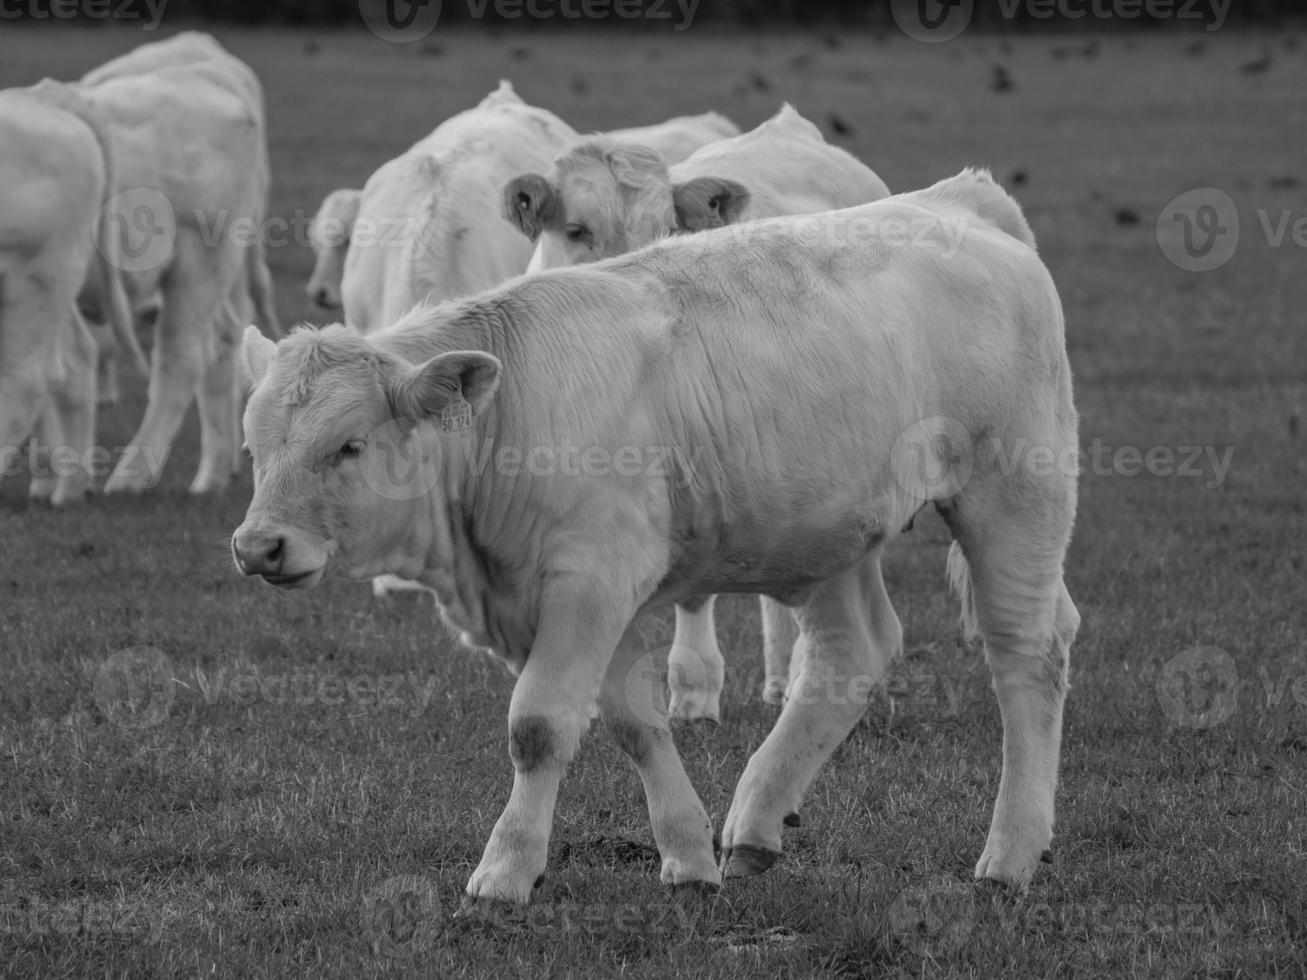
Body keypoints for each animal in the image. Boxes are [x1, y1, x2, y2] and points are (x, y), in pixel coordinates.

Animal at [232, 172, 1082, 909]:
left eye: (348, 445)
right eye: (253, 446)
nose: (257, 547)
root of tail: (962, 199)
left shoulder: (590, 579)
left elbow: (538, 726)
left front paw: (505, 870)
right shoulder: (583, 600)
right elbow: (634, 722)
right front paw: (686, 853)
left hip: (1013, 494)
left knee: (1027, 654)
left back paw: (1009, 854)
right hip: (828, 530)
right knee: (853, 653)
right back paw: (754, 825)